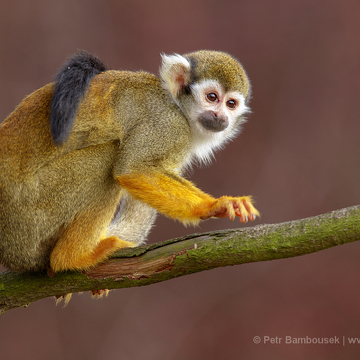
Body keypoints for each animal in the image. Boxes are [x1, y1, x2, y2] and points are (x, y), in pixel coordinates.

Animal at [0, 50, 258, 276]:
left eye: (231, 104)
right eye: (212, 97)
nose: (220, 116)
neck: (177, 107)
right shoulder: (166, 125)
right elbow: (133, 171)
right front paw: (212, 206)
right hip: (31, 214)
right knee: (106, 160)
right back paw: (72, 258)